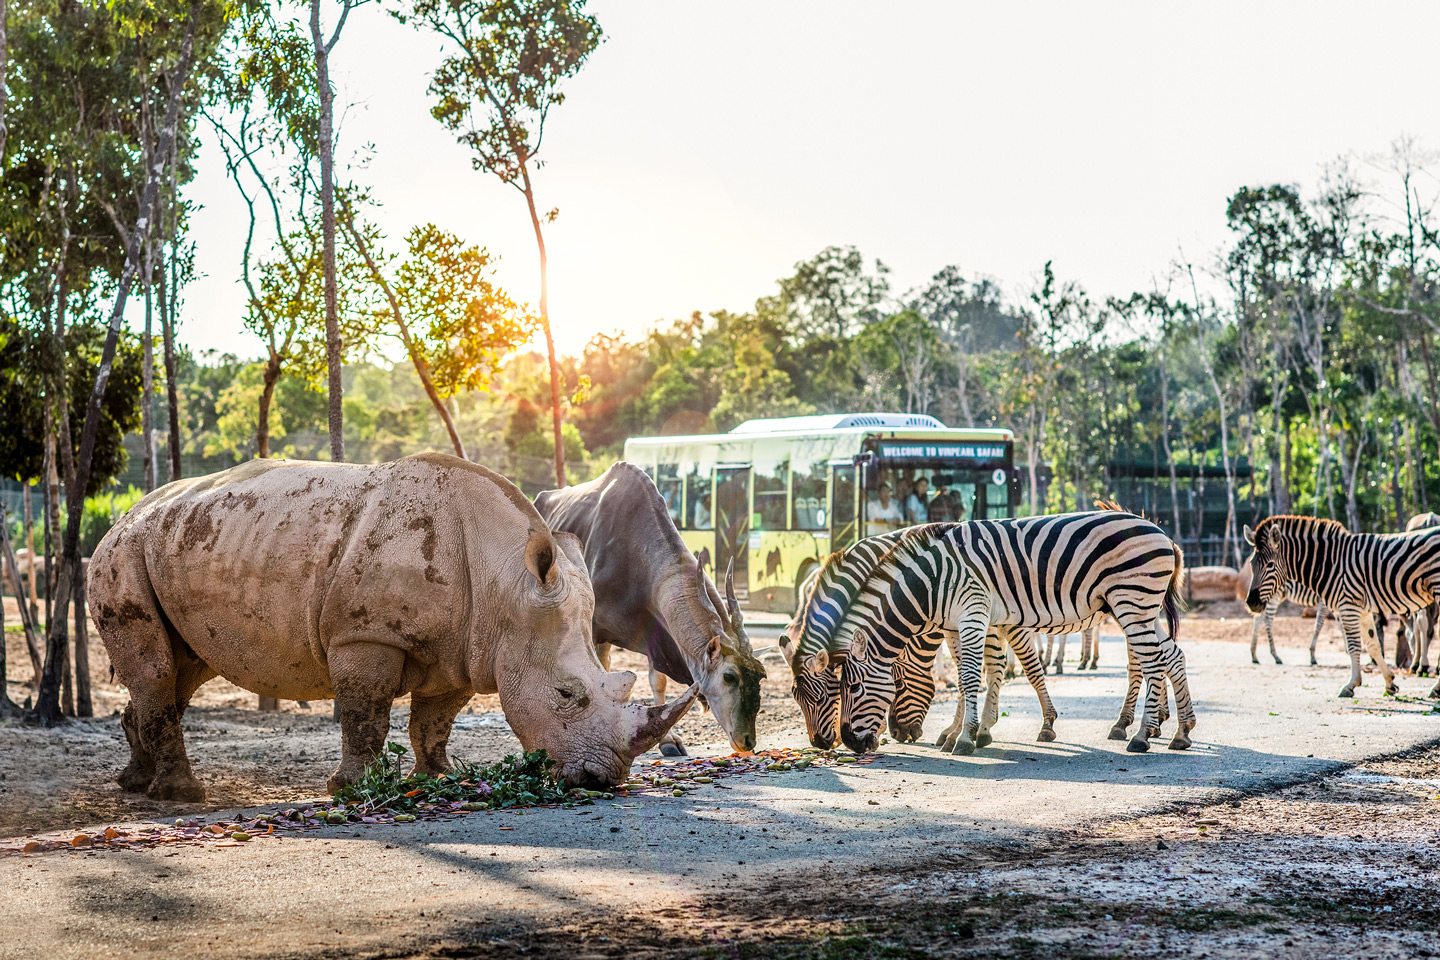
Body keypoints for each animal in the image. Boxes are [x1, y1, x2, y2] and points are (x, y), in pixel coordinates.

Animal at [812, 515, 1192, 754]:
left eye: (853, 688)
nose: (848, 742)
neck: (932, 583)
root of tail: (1164, 535)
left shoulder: (973, 613)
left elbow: (971, 677)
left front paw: (965, 739)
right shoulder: (962, 622)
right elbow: (973, 676)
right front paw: (966, 733)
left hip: (1133, 602)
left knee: (1152, 663)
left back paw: (1141, 735)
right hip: (1139, 607)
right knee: (1172, 656)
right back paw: (1181, 731)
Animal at [1238, 518, 1440, 699]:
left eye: (1270, 565)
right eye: (1251, 564)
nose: (1252, 602)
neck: (1328, 562)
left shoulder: (1347, 605)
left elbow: (1352, 644)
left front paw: (1351, 684)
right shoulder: (1360, 609)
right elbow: (1372, 645)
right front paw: (1389, 682)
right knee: (1262, 619)